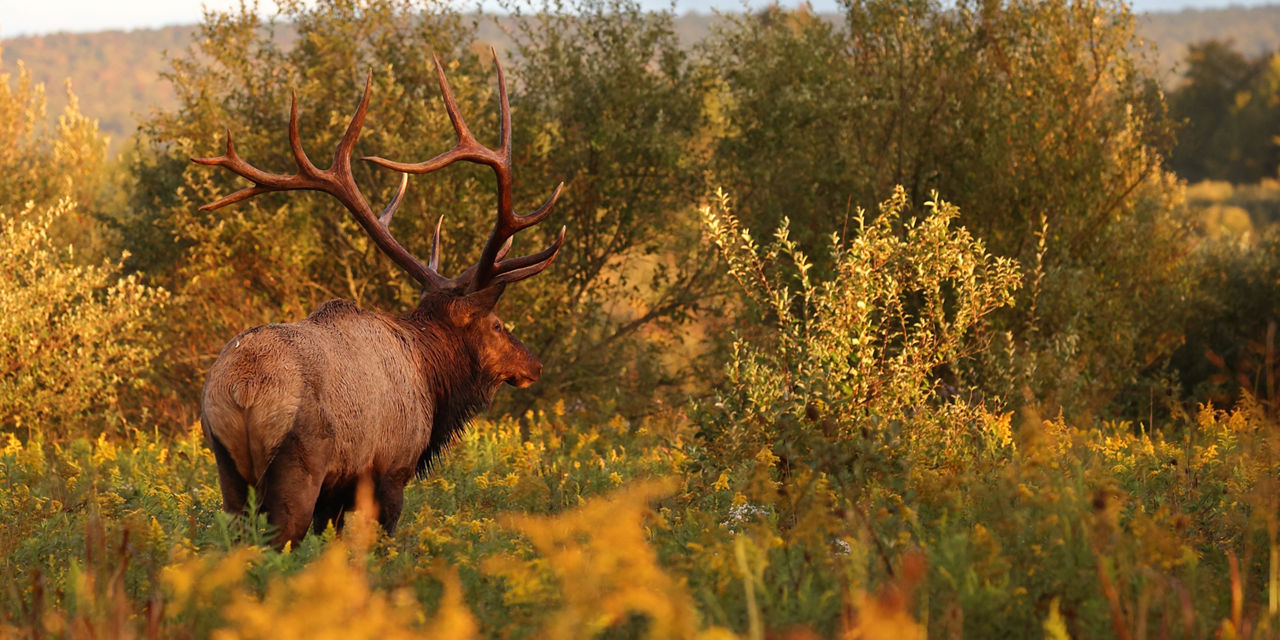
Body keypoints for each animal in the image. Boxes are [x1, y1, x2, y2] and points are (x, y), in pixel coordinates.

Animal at [192, 52, 563, 547]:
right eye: (499, 324)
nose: (533, 364)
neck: (431, 377)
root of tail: (243, 391)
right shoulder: (390, 469)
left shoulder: (336, 491)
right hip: (299, 463)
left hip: (226, 465)